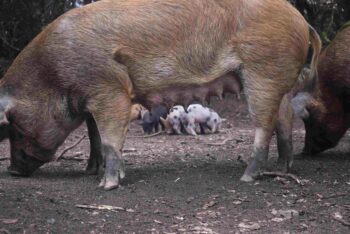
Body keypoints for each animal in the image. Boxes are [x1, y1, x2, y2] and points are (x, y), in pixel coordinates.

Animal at [0, 0, 320, 190]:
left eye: (15, 125)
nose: (12, 171)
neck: (52, 76)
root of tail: (301, 20)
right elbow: (96, 136)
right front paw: (97, 173)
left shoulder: (109, 89)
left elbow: (109, 138)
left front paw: (107, 186)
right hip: (277, 78)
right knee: (284, 118)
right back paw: (282, 167)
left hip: (262, 70)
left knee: (264, 123)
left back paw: (246, 176)